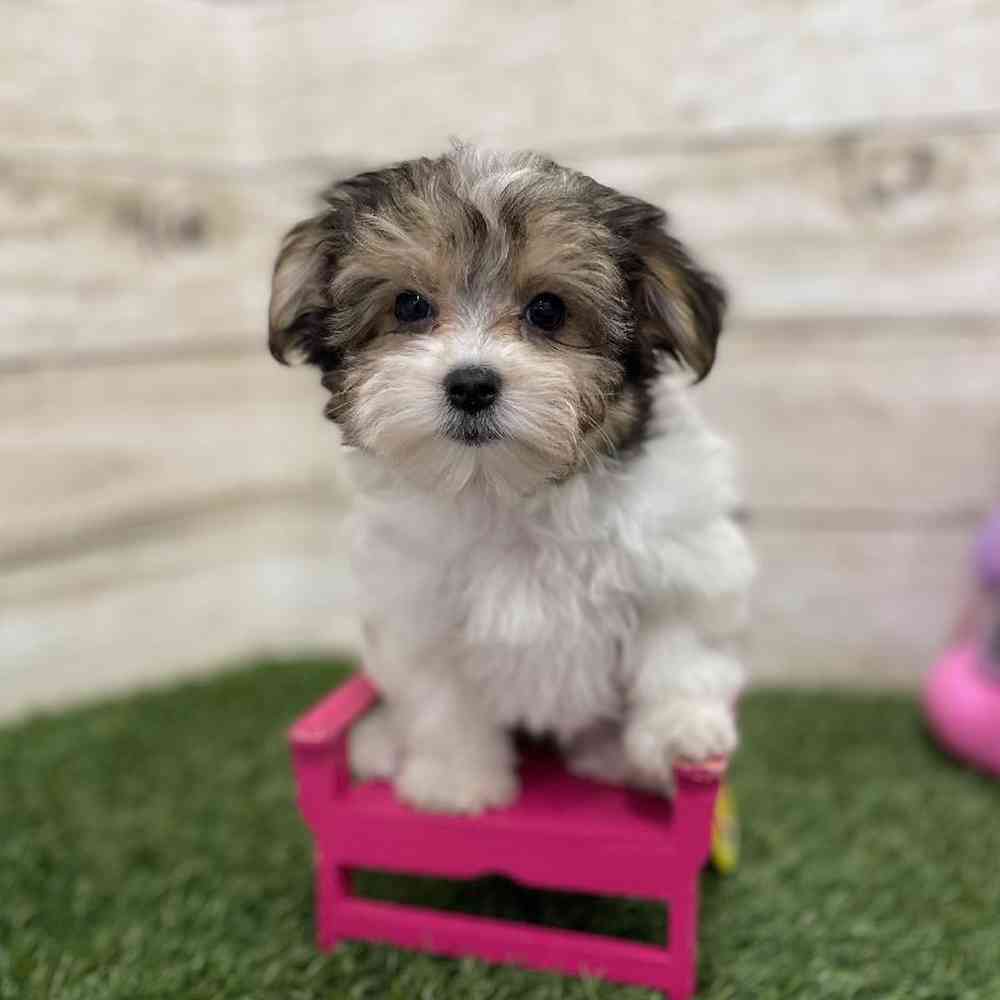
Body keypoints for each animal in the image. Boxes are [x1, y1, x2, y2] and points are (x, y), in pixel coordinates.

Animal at [269, 145, 753, 814]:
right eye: (409, 306)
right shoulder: (417, 609)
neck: (504, 490)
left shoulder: (680, 559)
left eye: (548, 310)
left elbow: (679, 650)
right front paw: (455, 781)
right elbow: (442, 700)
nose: (471, 384)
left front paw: (681, 733)